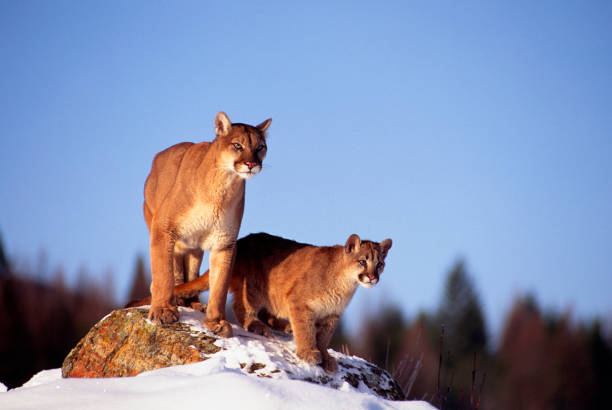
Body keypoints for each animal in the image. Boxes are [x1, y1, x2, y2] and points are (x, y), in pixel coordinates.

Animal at [128, 232, 392, 374]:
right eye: (362, 261)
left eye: (380, 263)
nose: (373, 277)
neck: (344, 285)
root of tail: (241, 241)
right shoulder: (300, 304)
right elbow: (306, 331)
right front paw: (309, 353)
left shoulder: (331, 317)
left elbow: (324, 338)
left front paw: (325, 357)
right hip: (254, 289)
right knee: (241, 308)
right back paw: (259, 326)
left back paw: (281, 325)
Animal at [143, 112, 270, 336]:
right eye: (237, 145)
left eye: (260, 147)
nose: (251, 164)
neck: (223, 187)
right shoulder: (164, 227)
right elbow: (164, 273)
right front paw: (163, 311)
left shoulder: (224, 241)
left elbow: (219, 285)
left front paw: (216, 322)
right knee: (175, 271)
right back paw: (176, 300)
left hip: (195, 248)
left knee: (191, 273)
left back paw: (193, 303)